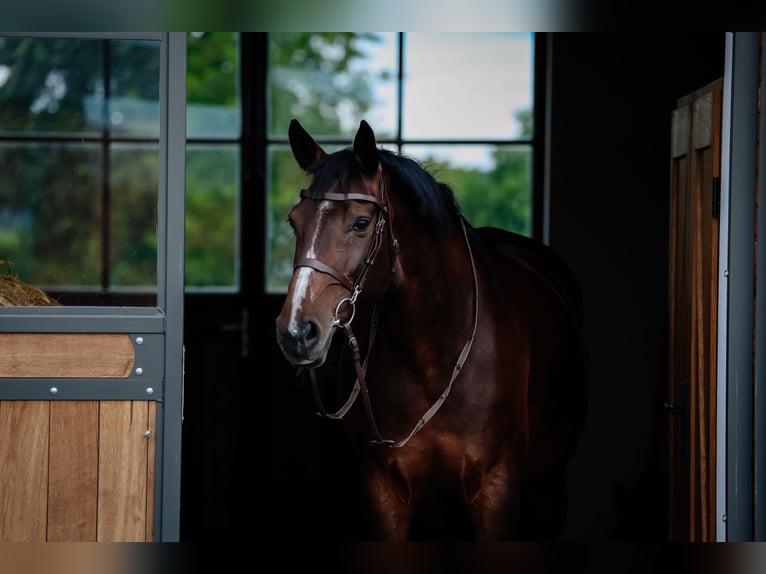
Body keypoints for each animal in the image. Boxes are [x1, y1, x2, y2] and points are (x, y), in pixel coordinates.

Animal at [275, 118, 589, 541]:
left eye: (361, 223)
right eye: (294, 221)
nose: (296, 331)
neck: (433, 352)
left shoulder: (496, 491)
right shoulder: (385, 494)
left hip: (549, 490)